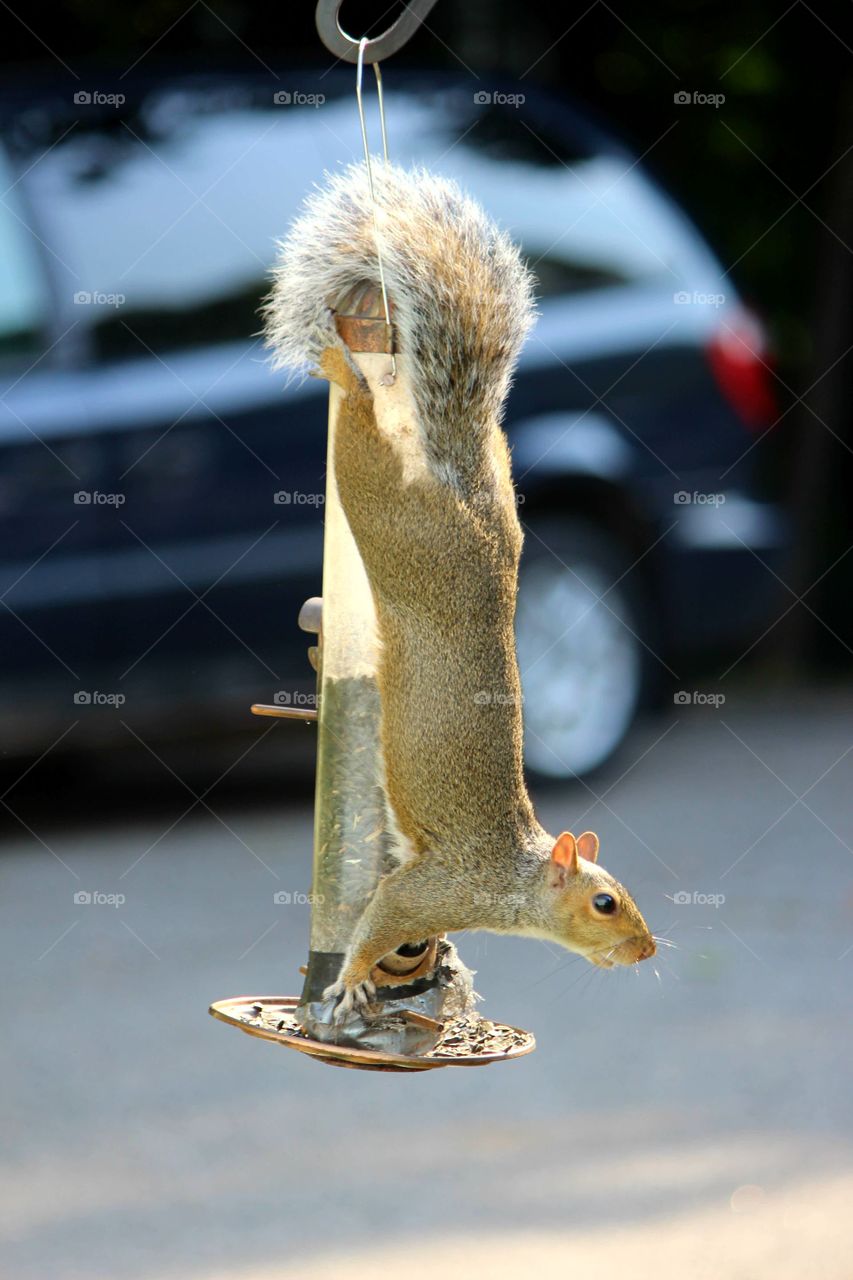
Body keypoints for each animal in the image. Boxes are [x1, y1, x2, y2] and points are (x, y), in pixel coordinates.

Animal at [266, 162, 656, 1016]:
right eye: (603, 901)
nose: (646, 951)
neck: (511, 879)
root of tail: (464, 500)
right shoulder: (432, 887)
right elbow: (382, 919)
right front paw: (352, 979)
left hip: (498, 491)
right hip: (394, 519)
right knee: (363, 440)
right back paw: (345, 372)